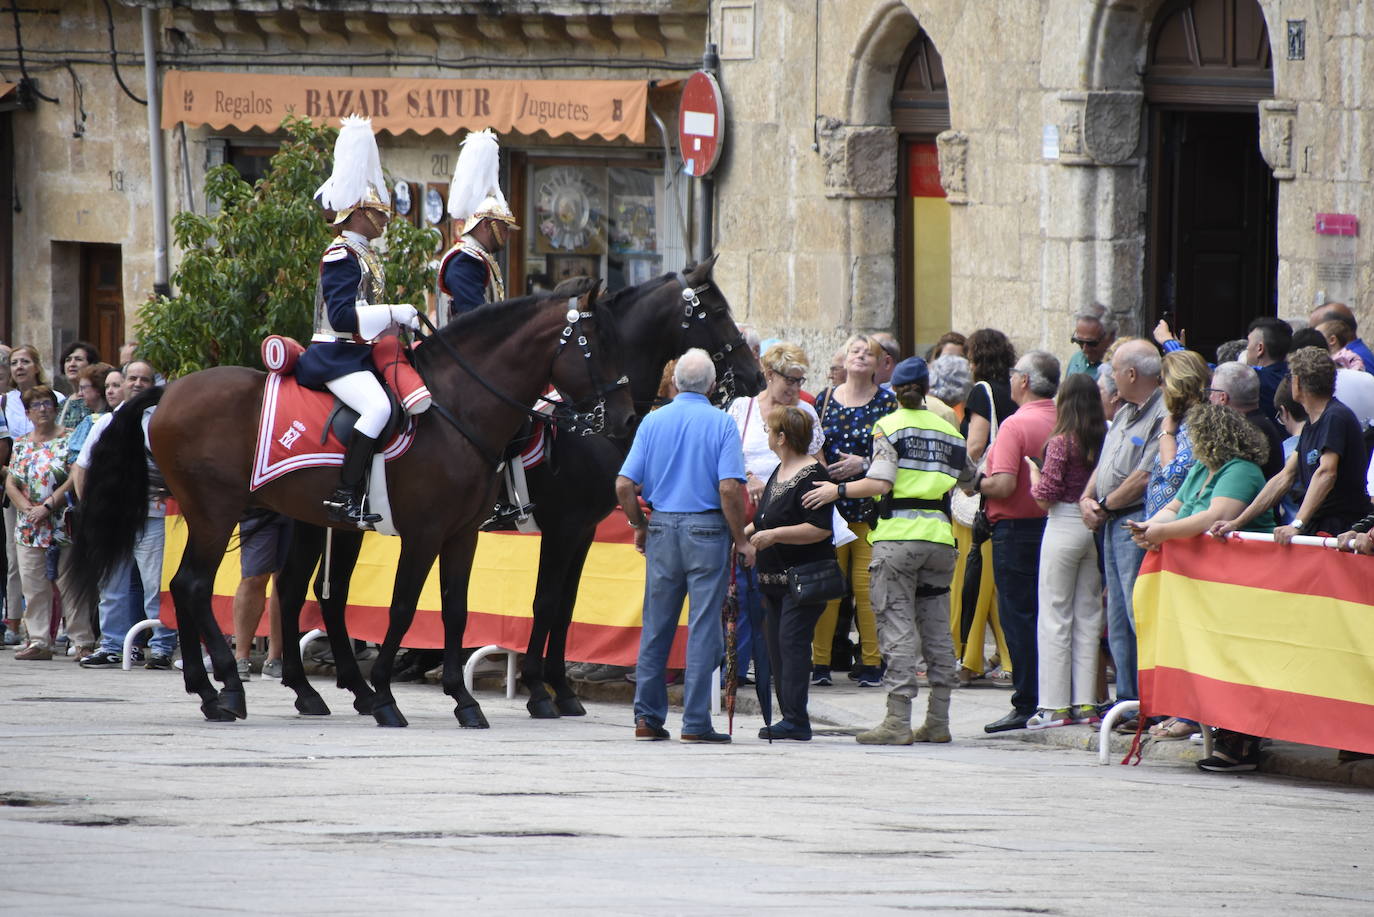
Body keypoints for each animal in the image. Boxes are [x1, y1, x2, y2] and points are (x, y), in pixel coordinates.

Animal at [75, 283, 632, 725]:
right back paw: (227, 689)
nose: (625, 419)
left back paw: (223, 692)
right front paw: (385, 695)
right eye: (594, 345)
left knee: (208, 587)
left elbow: (455, 611)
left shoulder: (464, 534)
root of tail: (168, 391)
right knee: (194, 585)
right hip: (215, 512)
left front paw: (463, 701)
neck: (457, 409)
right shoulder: (427, 532)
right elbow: (404, 608)